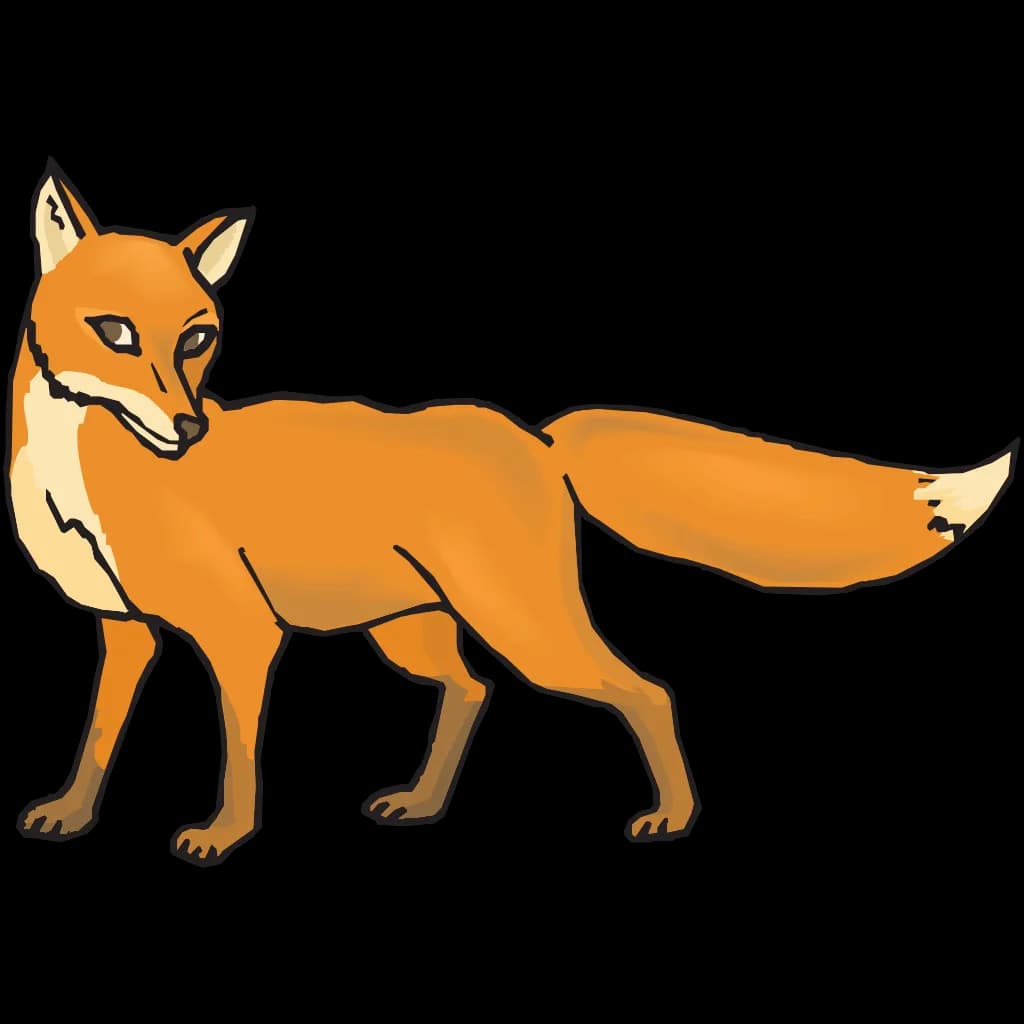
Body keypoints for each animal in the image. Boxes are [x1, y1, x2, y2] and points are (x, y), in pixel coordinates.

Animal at [8, 162, 1016, 865]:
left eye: (198, 337)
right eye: (115, 332)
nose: (188, 430)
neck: (77, 478)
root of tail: (537, 435)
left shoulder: (241, 632)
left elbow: (240, 752)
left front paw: (222, 836)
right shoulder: (122, 630)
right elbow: (97, 738)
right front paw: (67, 815)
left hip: (525, 625)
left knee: (644, 691)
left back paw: (671, 818)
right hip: (411, 629)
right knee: (471, 690)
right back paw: (422, 805)